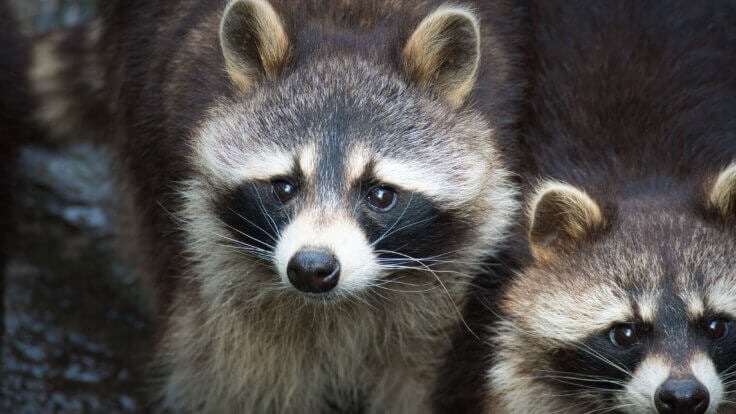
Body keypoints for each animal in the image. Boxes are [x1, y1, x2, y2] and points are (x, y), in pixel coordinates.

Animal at [29, 0, 526, 411]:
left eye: (380, 195)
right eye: (284, 187)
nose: (312, 267)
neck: (350, 23)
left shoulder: (444, 292)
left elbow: (416, 373)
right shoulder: (207, 254)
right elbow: (242, 372)